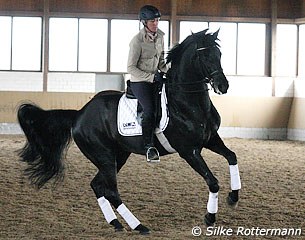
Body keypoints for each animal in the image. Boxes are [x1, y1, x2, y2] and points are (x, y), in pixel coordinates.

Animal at [17, 29, 240, 234]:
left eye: (219, 54)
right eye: (205, 55)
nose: (223, 86)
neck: (188, 102)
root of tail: (79, 114)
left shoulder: (211, 140)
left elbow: (232, 157)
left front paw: (233, 197)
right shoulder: (189, 151)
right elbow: (213, 182)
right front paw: (210, 217)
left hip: (118, 156)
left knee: (97, 185)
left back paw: (116, 223)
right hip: (105, 156)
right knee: (111, 191)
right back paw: (139, 226)